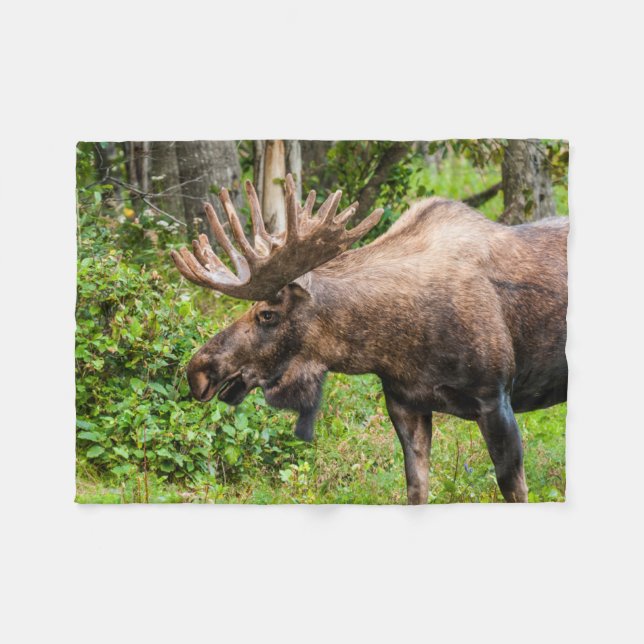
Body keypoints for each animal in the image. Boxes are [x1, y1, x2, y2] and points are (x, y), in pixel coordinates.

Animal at [171, 174, 568, 504]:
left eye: (267, 314)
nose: (198, 370)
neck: (391, 346)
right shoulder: (405, 402)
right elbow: (416, 489)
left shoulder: (495, 397)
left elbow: (514, 489)